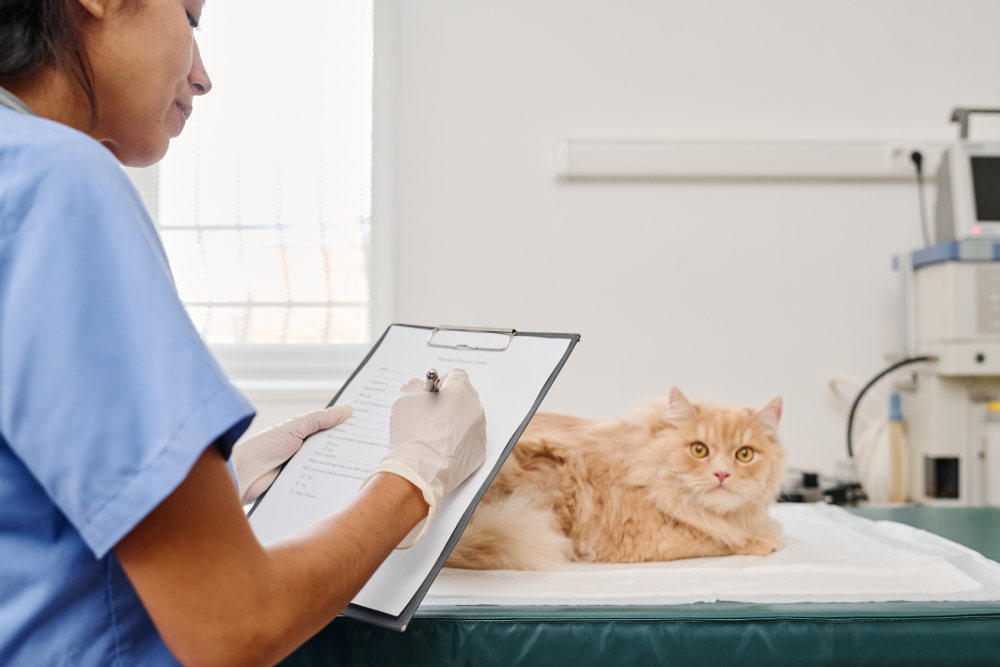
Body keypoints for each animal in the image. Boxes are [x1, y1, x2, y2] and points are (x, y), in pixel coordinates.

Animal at [448, 388, 788, 572]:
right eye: (699, 450)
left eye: (745, 455)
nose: (722, 474)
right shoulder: (651, 538)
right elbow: (721, 539)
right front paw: (764, 538)